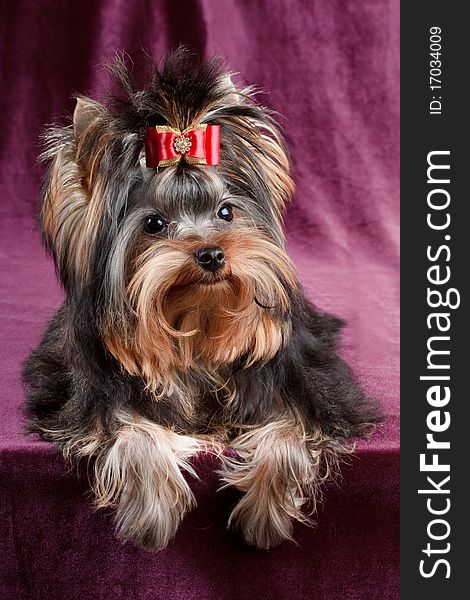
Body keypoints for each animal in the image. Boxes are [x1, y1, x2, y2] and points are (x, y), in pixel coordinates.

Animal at [23, 49, 382, 552]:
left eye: (226, 212)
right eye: (153, 224)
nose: (212, 253)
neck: (196, 323)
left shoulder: (312, 394)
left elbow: (289, 432)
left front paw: (266, 513)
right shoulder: (90, 404)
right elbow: (133, 432)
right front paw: (152, 514)